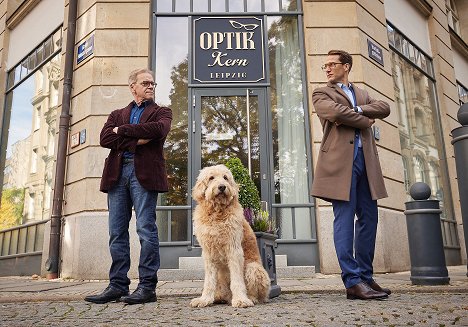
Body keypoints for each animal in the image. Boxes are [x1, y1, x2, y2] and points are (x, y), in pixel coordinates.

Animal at [190, 165, 270, 308]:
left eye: (225, 177)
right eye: (211, 178)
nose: (222, 187)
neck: (217, 213)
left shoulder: (234, 249)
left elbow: (237, 280)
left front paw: (240, 300)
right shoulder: (208, 253)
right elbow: (209, 281)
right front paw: (204, 299)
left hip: (253, 268)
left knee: (257, 294)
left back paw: (250, 298)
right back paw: (217, 297)